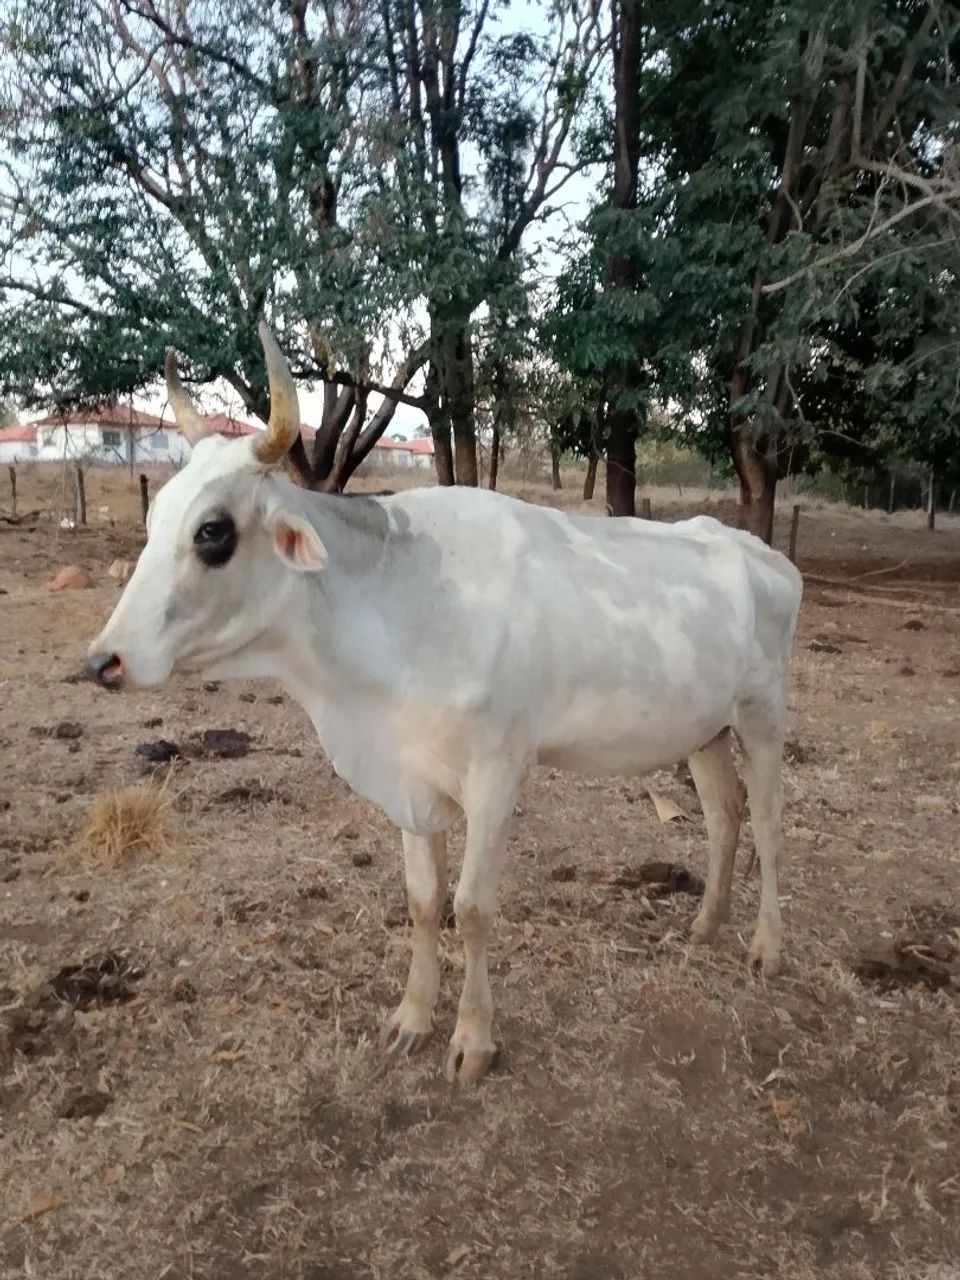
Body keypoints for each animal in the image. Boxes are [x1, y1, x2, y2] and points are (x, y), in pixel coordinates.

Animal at [86, 323, 803, 1083]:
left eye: (213, 531)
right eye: (155, 517)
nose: (104, 660)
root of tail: (761, 552)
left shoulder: (496, 775)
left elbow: (473, 906)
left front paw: (473, 1038)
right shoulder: (411, 782)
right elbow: (425, 902)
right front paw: (412, 1016)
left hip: (763, 716)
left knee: (766, 822)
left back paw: (767, 946)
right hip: (704, 729)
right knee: (723, 815)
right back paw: (705, 924)